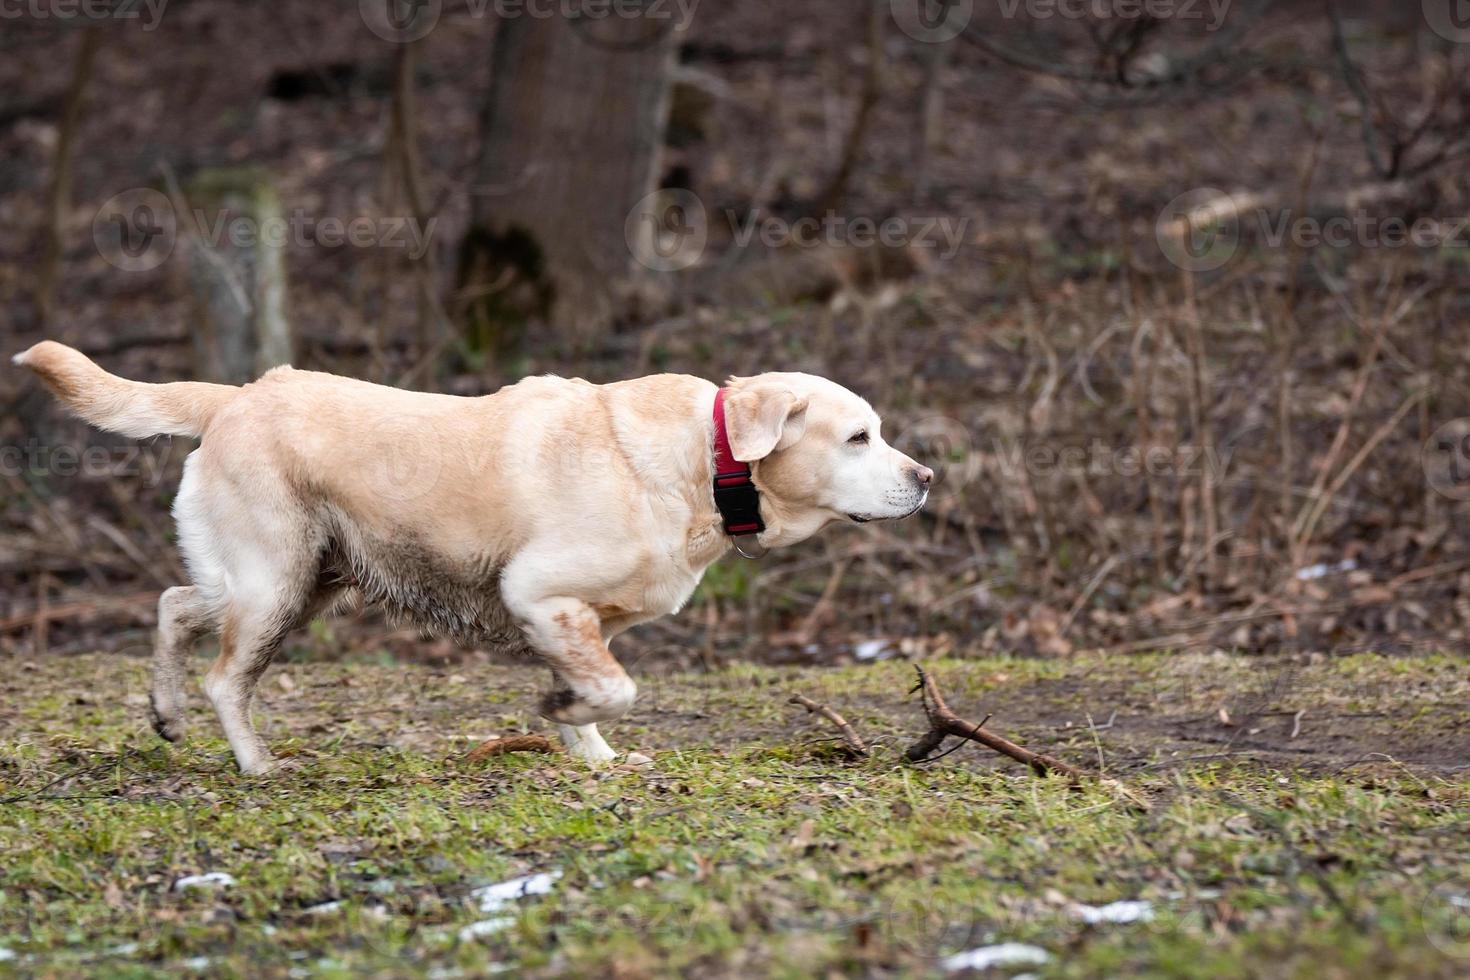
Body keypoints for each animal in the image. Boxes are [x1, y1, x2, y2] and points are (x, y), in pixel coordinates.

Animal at [14, 343, 929, 775]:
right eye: (860, 437)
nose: (926, 479)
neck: (705, 461)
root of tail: (239, 395)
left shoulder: (579, 621)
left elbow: (600, 691)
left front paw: (594, 756)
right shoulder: (538, 592)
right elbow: (614, 689)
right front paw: (564, 715)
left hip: (299, 581)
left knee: (174, 604)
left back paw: (164, 713)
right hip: (275, 583)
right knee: (224, 678)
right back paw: (255, 762)